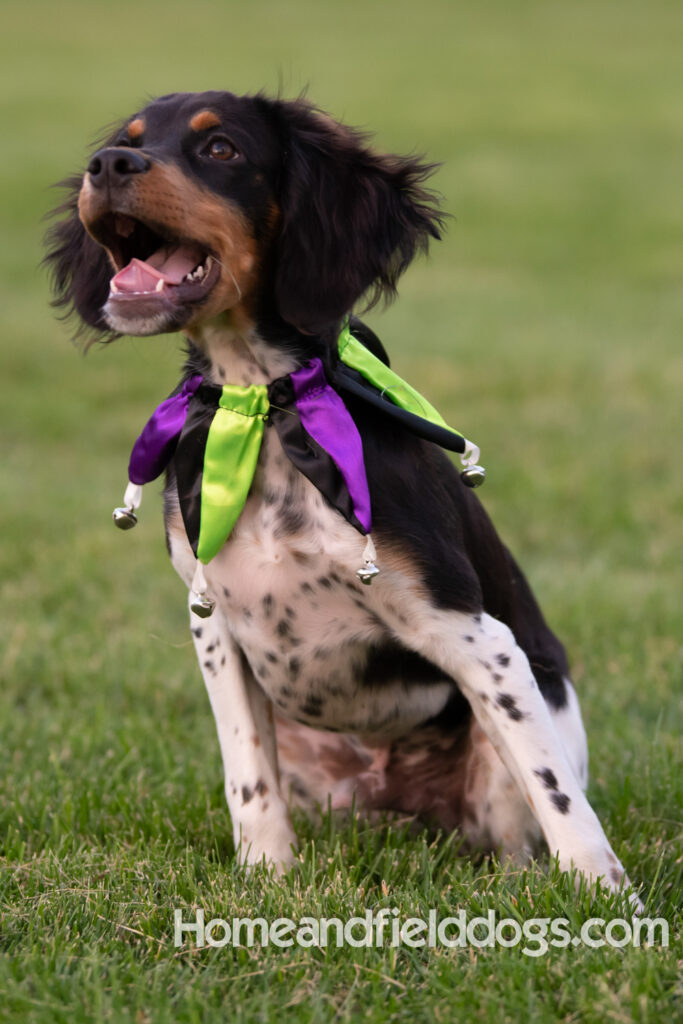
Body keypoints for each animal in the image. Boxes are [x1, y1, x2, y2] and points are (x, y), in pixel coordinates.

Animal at [45, 92, 638, 901]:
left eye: (222, 149)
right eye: (123, 140)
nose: (106, 166)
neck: (261, 408)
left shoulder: (473, 634)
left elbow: (559, 795)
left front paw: (607, 901)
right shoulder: (215, 624)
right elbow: (247, 780)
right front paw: (265, 881)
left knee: (521, 827)